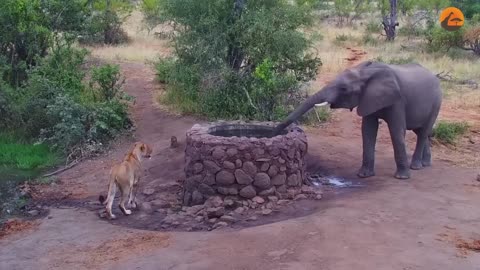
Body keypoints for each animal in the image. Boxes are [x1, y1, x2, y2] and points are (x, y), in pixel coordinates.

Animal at [274, 61, 442, 179]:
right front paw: (364, 175)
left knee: (423, 132)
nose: (275, 131)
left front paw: (401, 177)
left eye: (343, 89)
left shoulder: (398, 100)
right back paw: (425, 164)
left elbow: (396, 131)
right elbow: (367, 130)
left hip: (437, 102)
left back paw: (415, 167)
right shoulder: (367, 97)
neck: (365, 72)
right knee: (421, 132)